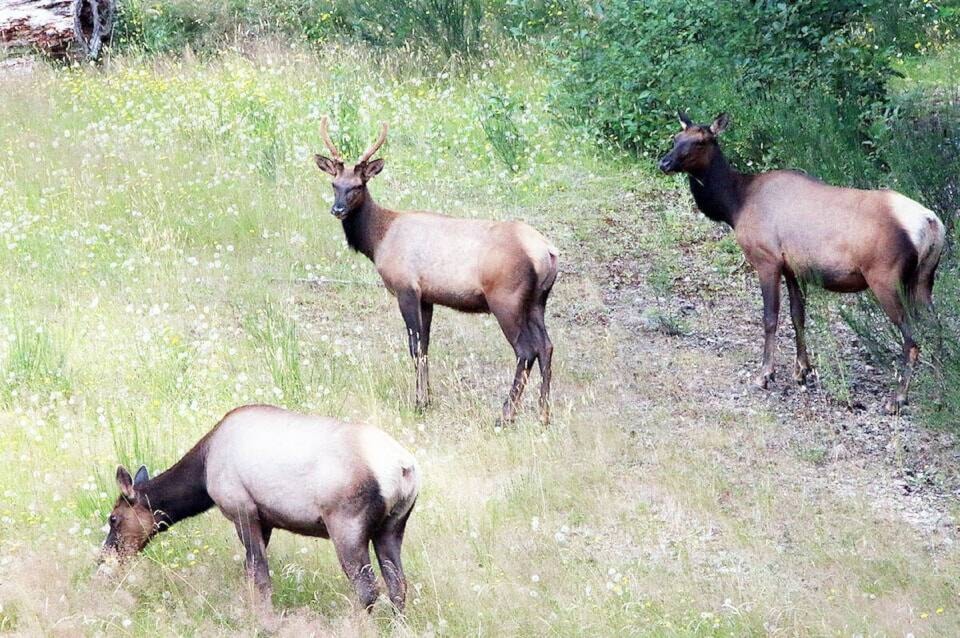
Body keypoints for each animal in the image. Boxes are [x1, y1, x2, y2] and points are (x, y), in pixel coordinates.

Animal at [99, 408, 418, 612]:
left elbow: (260, 577)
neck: (203, 471)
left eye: (113, 518)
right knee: (398, 586)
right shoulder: (266, 521)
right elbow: (250, 574)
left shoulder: (243, 510)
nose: (104, 558)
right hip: (392, 527)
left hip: (346, 525)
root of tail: (405, 469)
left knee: (367, 589)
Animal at [316, 116, 560, 424]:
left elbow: (414, 347)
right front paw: (428, 399)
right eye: (334, 184)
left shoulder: (406, 288)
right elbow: (426, 345)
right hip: (538, 300)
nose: (337, 209)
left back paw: (506, 415)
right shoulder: (428, 297)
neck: (379, 239)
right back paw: (544, 415)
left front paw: (418, 402)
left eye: (358, 186)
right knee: (546, 346)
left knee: (526, 350)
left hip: (507, 298)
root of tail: (547, 252)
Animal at [660, 113, 944, 416]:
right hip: (924, 278)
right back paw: (939, 392)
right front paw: (802, 371)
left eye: (701, 141)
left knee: (912, 339)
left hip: (885, 276)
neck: (734, 205)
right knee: (936, 329)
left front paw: (765, 374)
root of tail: (931, 224)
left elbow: (770, 317)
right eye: (676, 138)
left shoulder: (767, 258)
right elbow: (798, 316)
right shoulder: (793, 268)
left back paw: (898, 399)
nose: (664, 163)